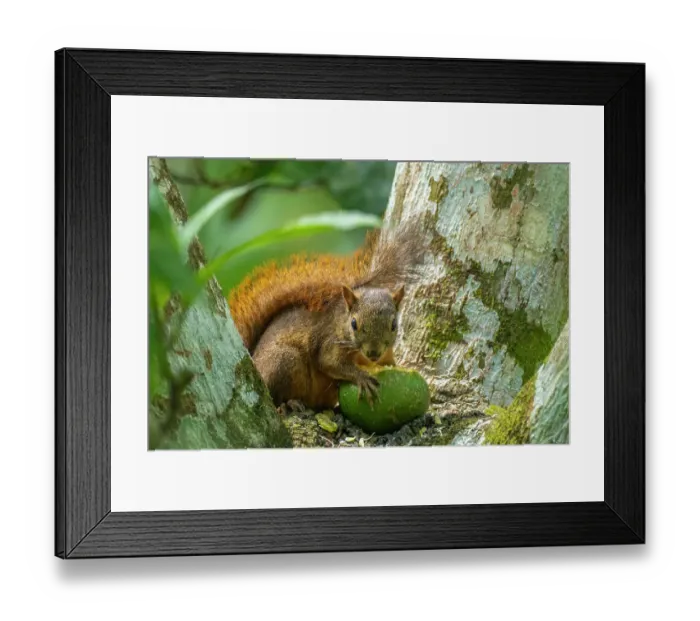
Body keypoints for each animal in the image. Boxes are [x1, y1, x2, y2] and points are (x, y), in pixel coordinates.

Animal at [228, 224, 421, 410]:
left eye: (394, 325)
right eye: (354, 324)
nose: (373, 353)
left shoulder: (386, 356)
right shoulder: (329, 341)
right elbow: (329, 362)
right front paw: (362, 377)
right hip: (285, 362)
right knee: (276, 396)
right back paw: (289, 404)